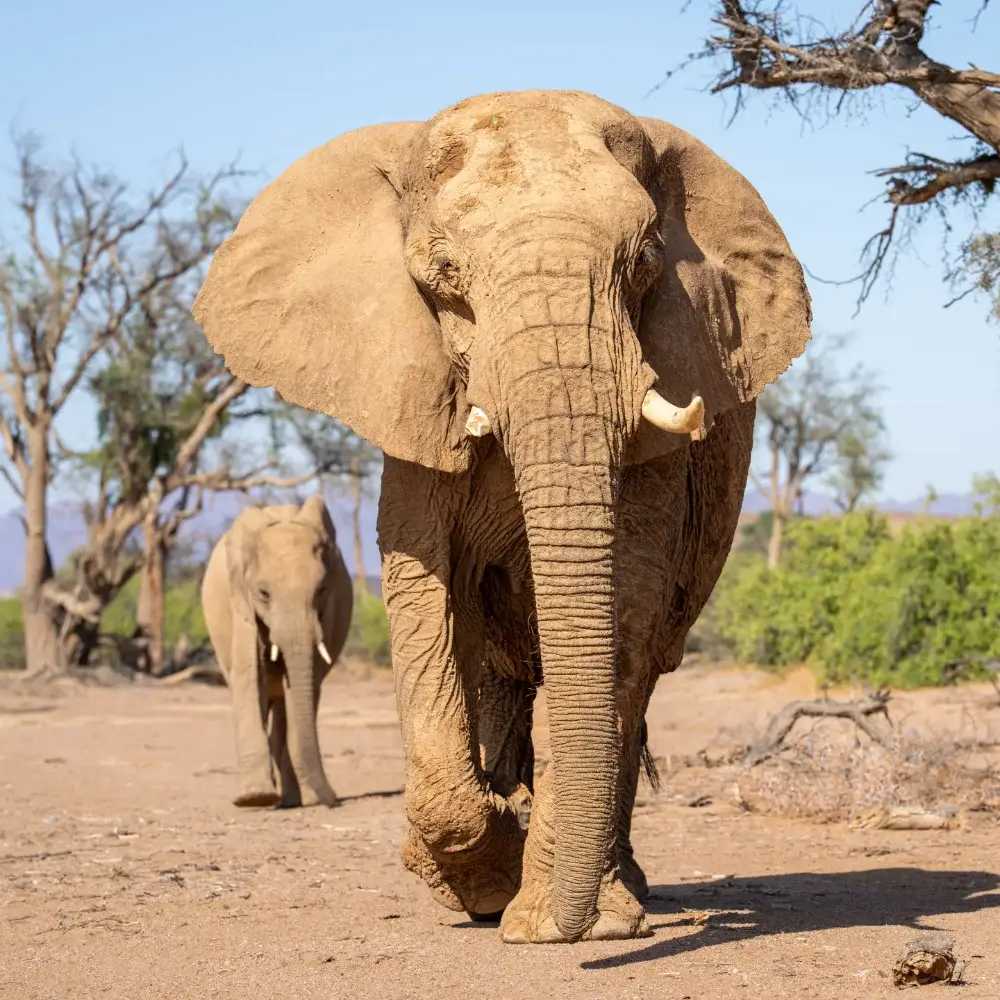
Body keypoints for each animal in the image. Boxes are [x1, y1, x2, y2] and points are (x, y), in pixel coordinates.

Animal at [201, 496, 353, 809]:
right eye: (263, 593)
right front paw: (255, 798)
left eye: (321, 590)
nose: (335, 801)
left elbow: (301, 690)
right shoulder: (240, 601)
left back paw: (291, 800)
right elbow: (249, 676)